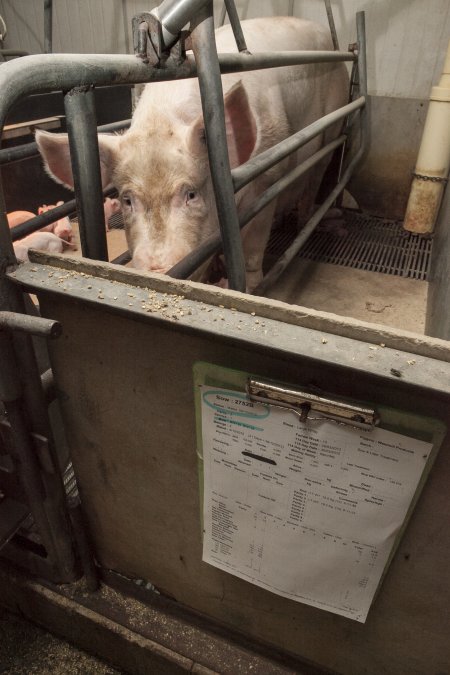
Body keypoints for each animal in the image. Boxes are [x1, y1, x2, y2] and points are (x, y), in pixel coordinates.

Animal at [37, 17, 350, 292]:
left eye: (191, 194)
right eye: (127, 200)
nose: (158, 269)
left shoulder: (267, 180)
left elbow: (252, 246)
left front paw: (244, 286)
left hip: (332, 130)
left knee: (316, 177)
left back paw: (302, 222)